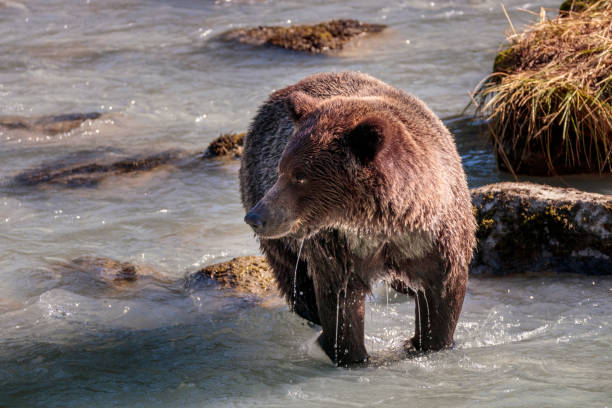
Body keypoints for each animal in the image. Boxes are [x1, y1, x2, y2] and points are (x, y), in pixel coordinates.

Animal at [240, 71, 478, 366]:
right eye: (281, 170)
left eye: (299, 176)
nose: (256, 217)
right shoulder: (340, 246)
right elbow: (341, 300)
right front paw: (349, 353)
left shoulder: (434, 236)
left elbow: (443, 291)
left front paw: (427, 343)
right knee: (296, 282)